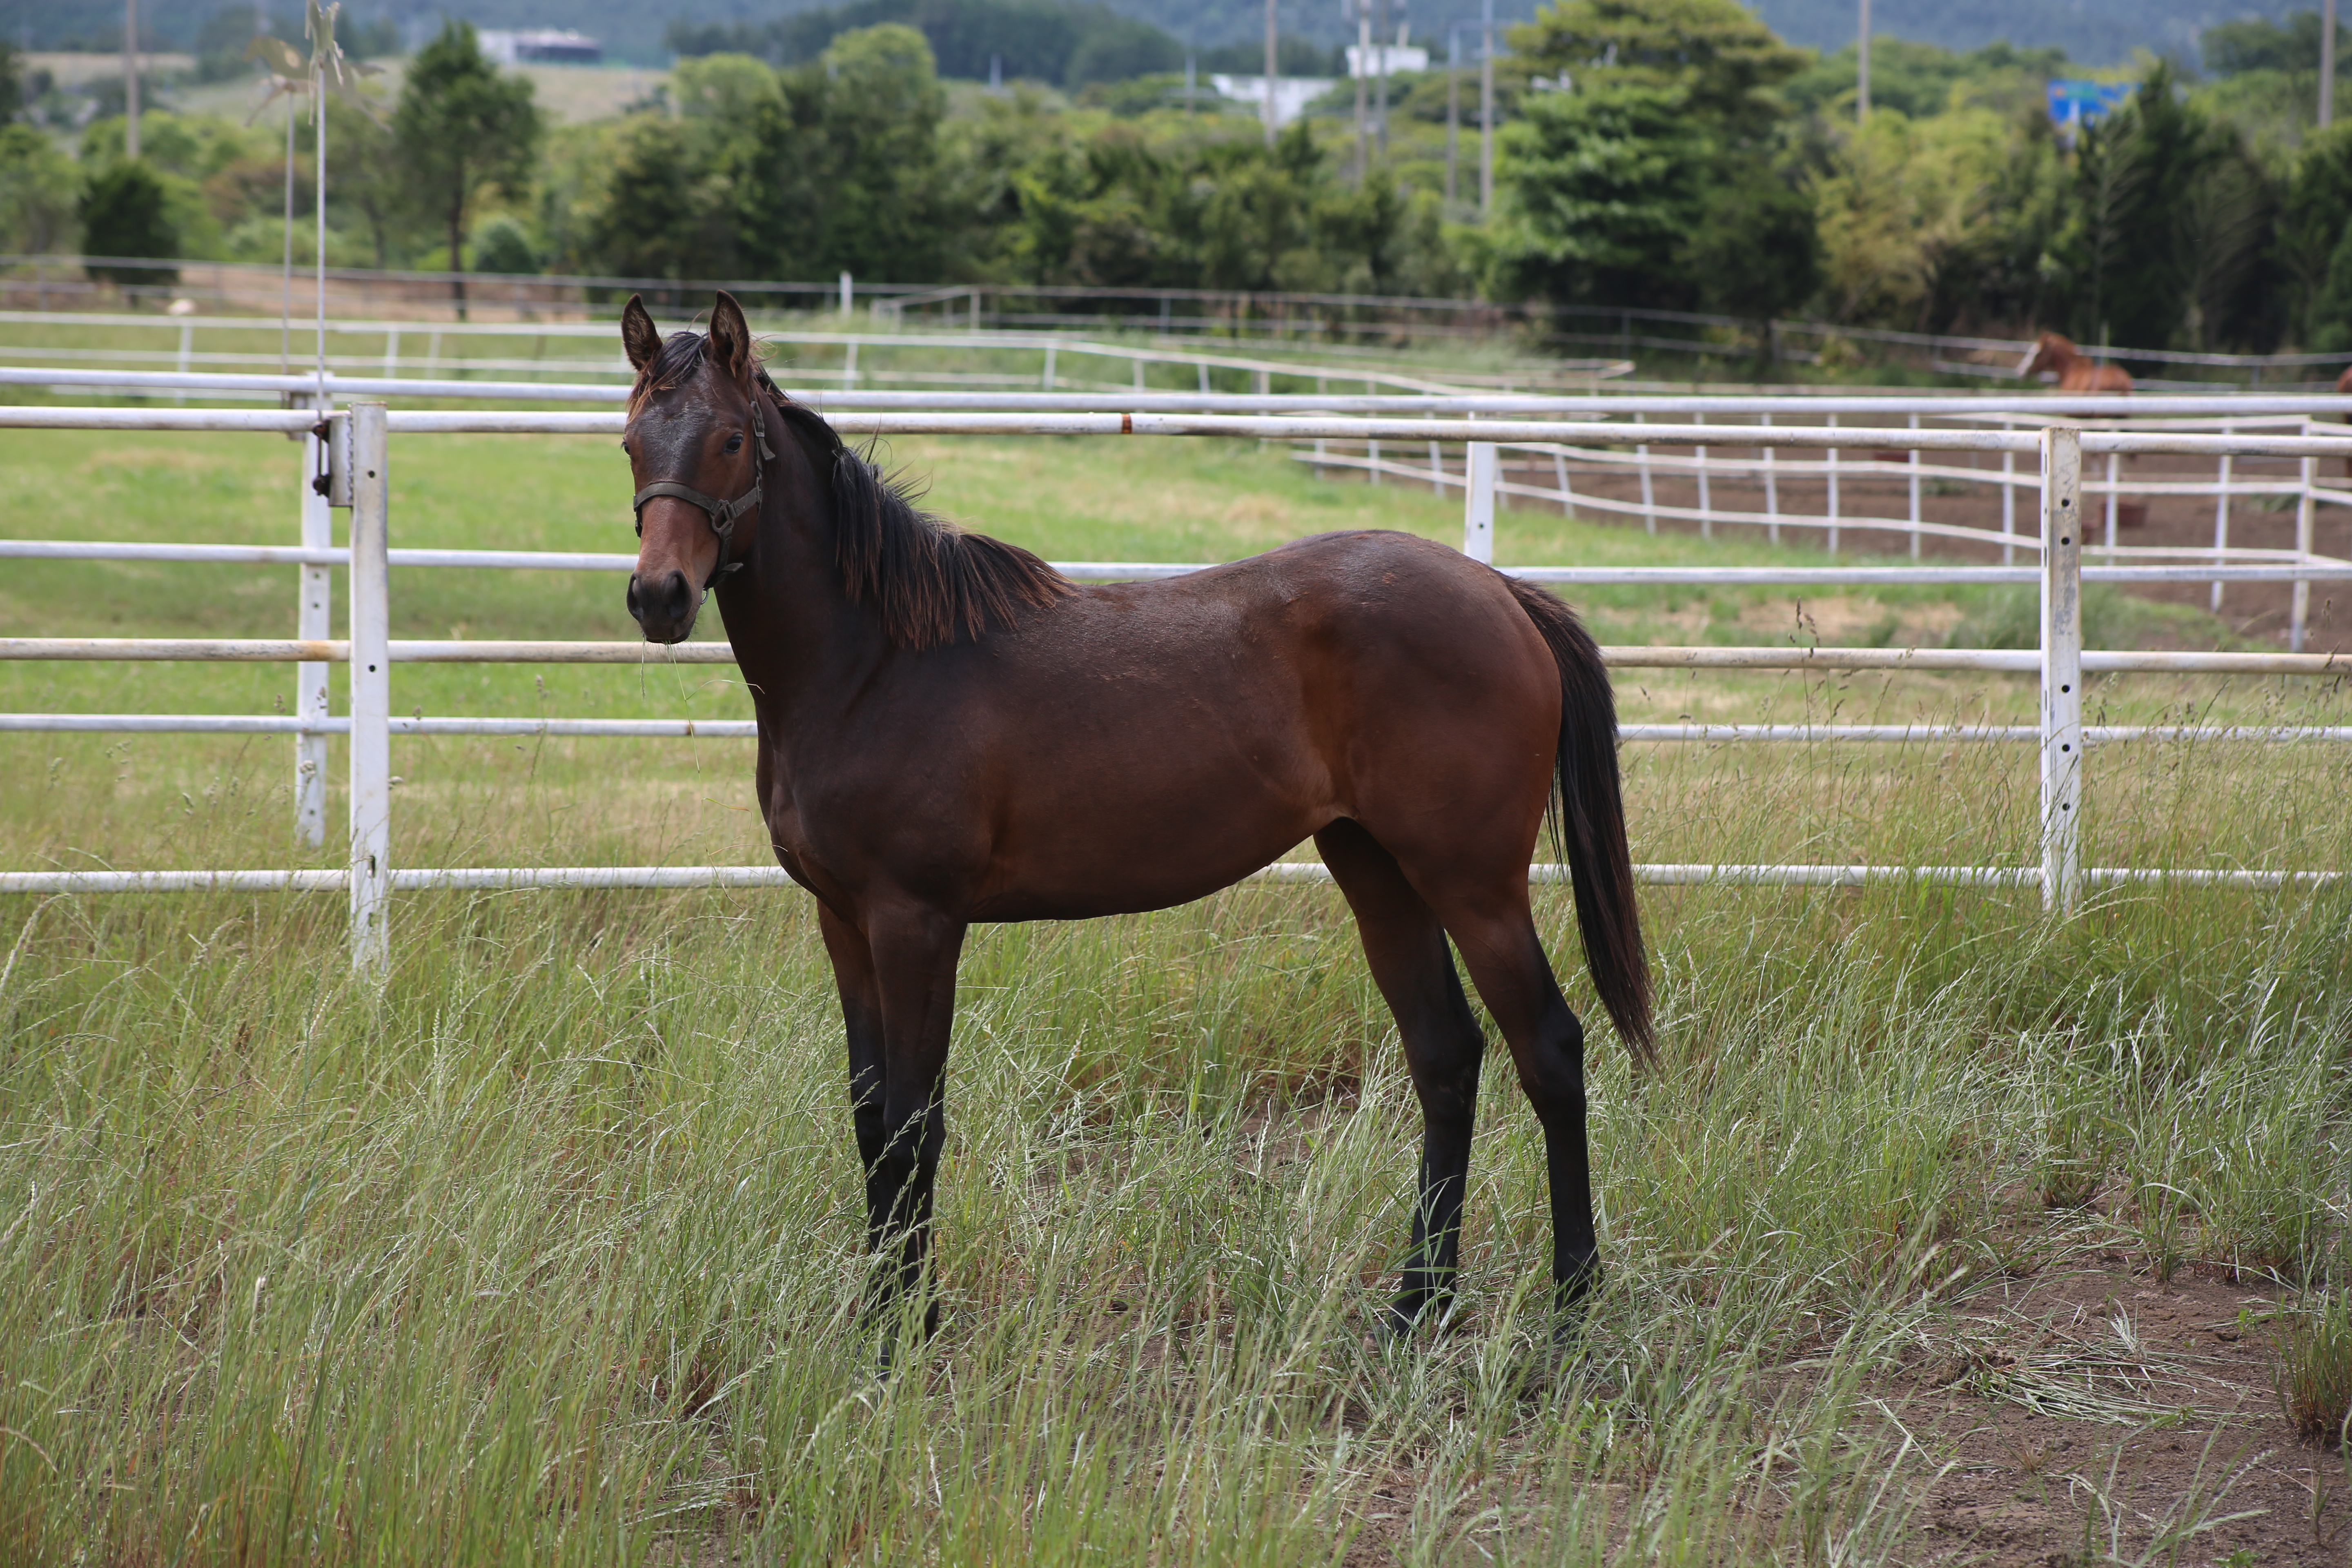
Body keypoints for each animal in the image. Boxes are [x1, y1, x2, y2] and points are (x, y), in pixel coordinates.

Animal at [621, 297, 1656, 1354]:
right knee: (1445, 1057)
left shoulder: (916, 922)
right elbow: (873, 1119)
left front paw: (908, 1333)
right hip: (1376, 870)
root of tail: (1502, 595)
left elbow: (916, 1123)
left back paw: (1572, 1304)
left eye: (731, 439)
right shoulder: (843, 921)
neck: (873, 662)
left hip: (1472, 883)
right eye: (630, 442)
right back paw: (1415, 1306)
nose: (658, 597)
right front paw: (883, 1310)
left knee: (1548, 1050)